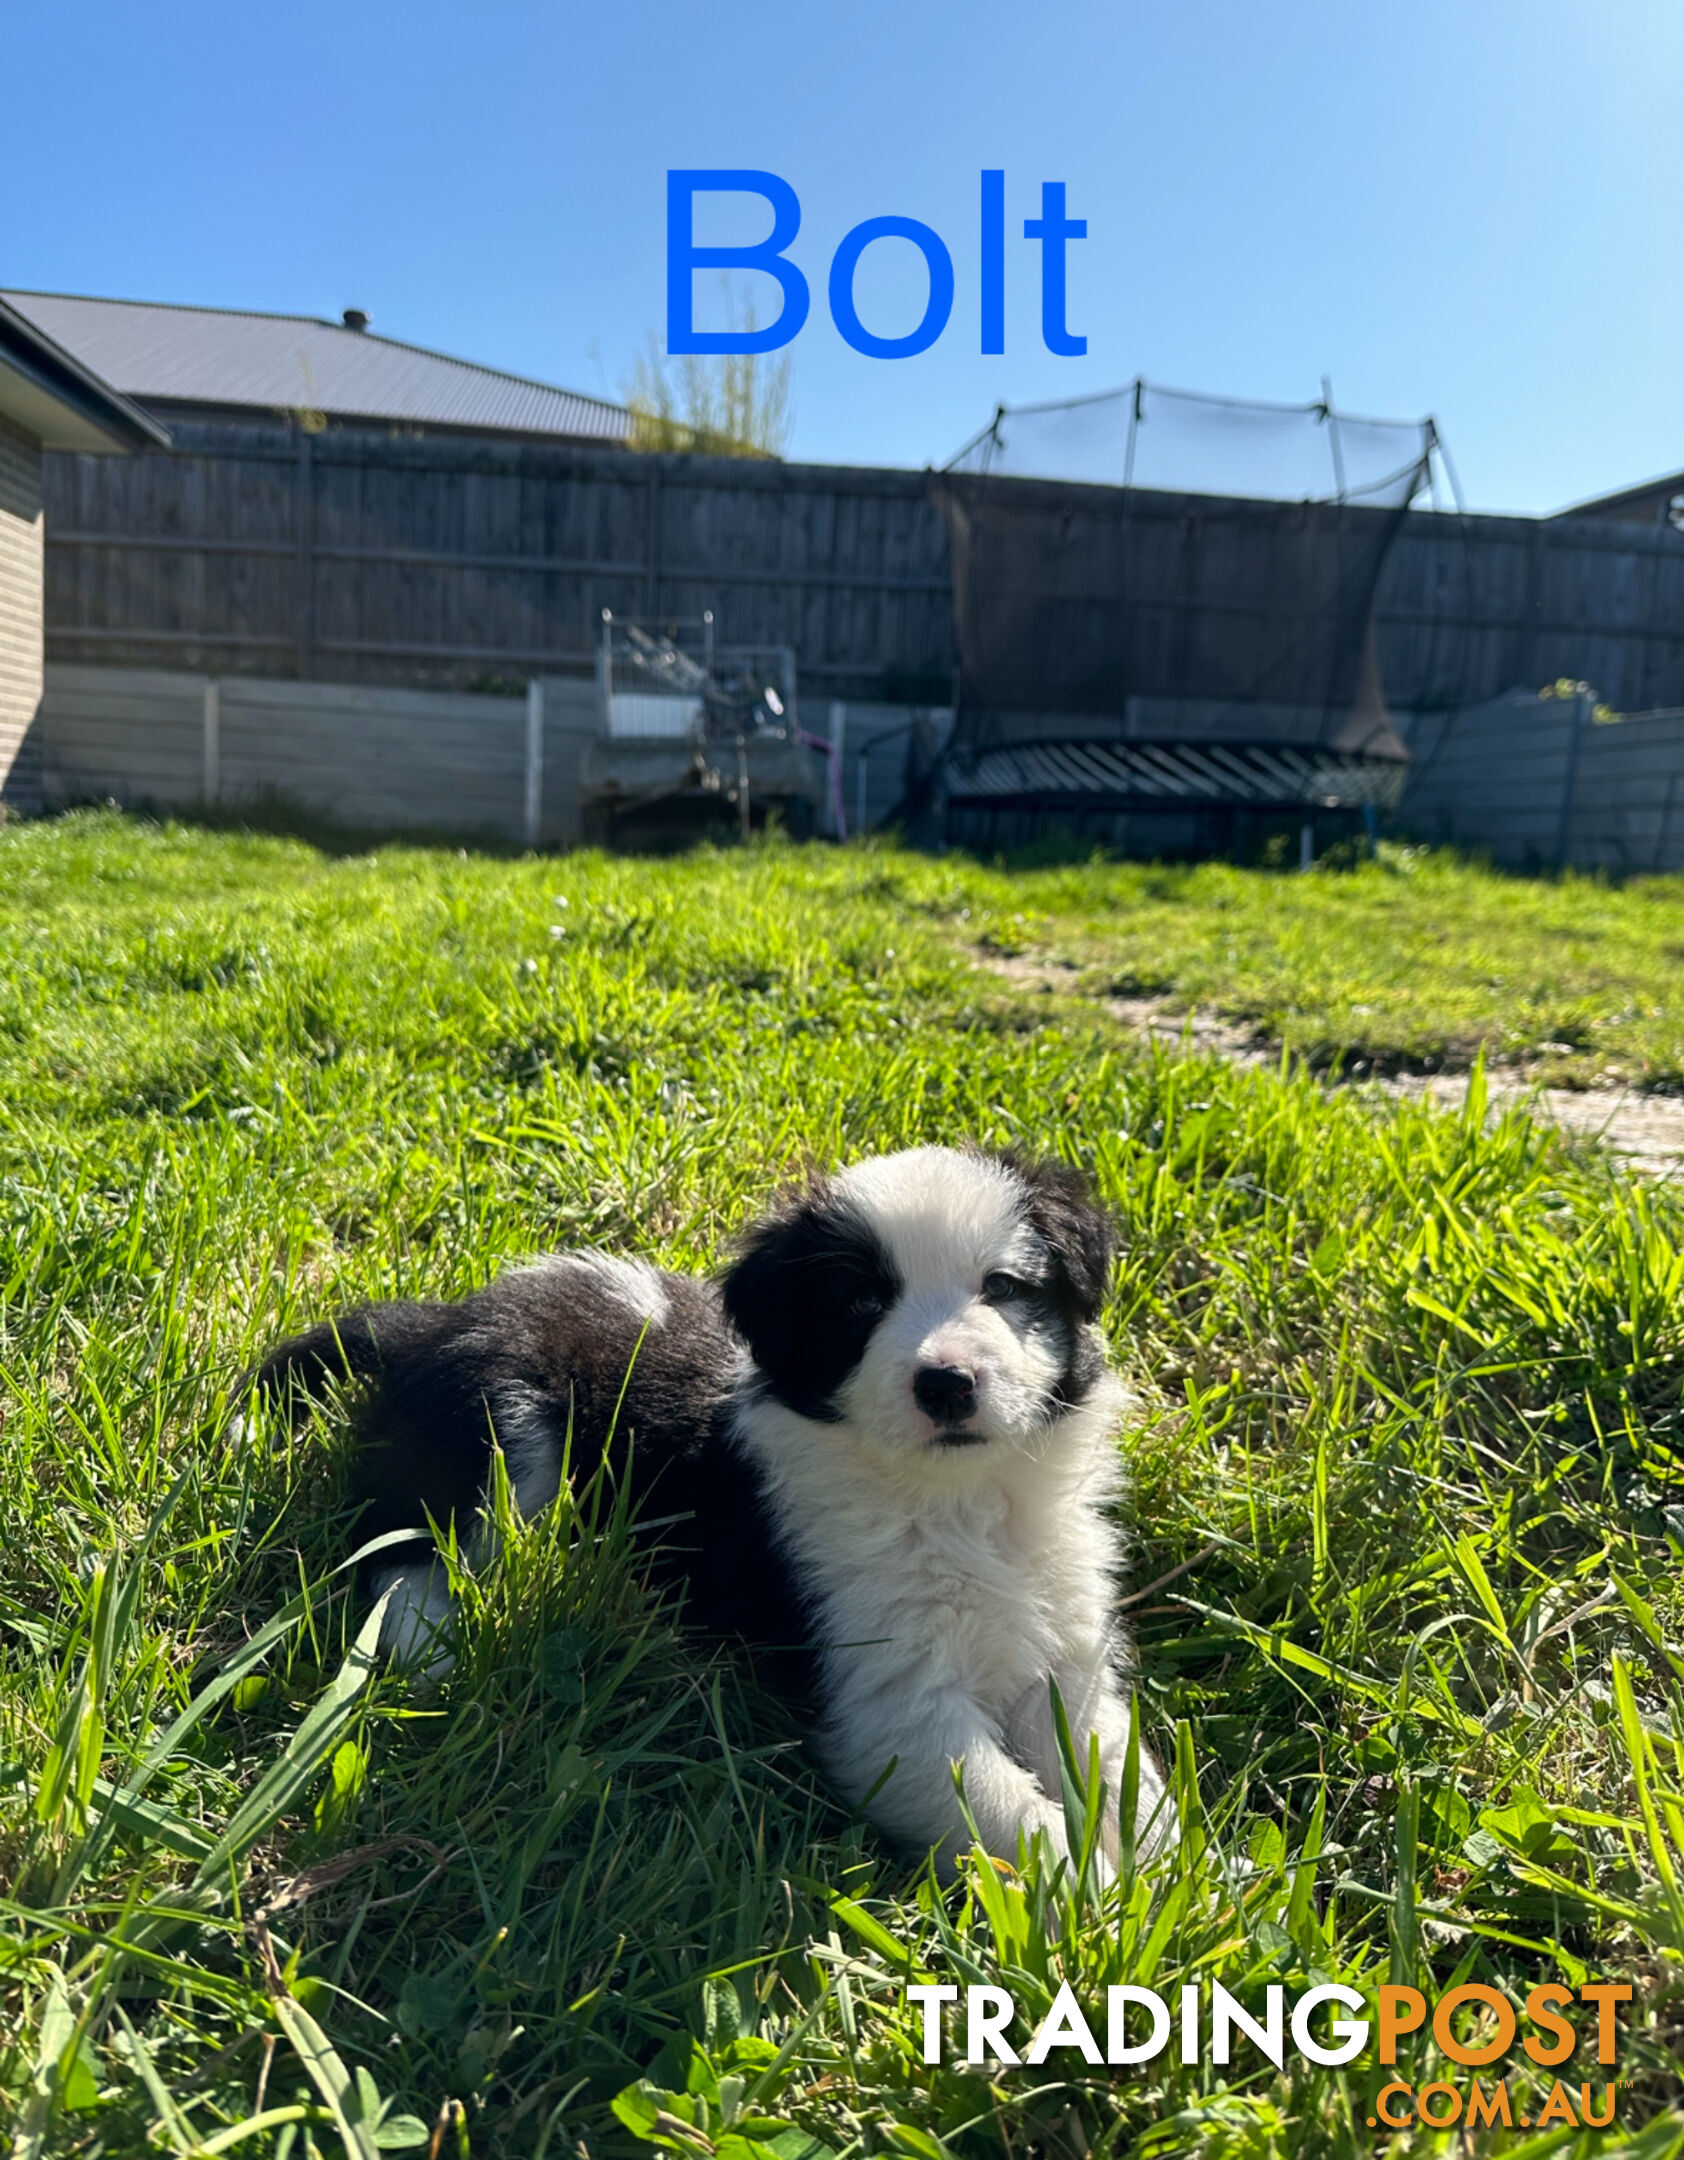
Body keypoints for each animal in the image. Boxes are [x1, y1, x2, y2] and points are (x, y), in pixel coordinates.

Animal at [256, 1149, 1174, 1874]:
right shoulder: (890, 1702)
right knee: (404, 1545)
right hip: (501, 1425)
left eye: (1006, 1287)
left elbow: (1121, 1770)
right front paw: (1095, 1905)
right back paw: (435, 1652)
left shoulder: (1067, 1655)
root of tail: (437, 1320)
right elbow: (1012, 1813)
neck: (963, 1499)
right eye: (859, 1304)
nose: (946, 1383)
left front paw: (1184, 1880)